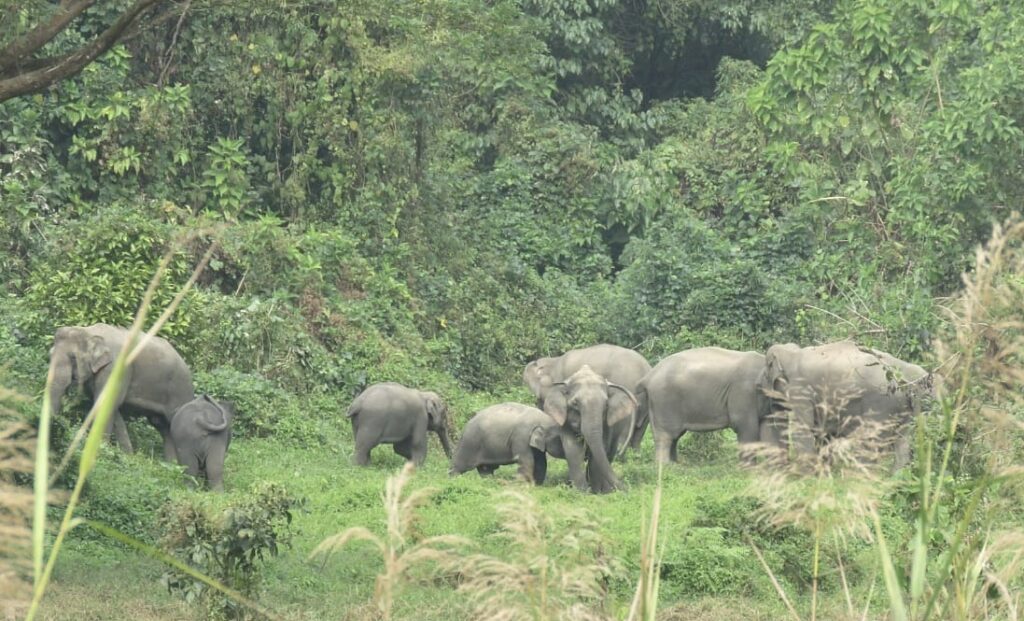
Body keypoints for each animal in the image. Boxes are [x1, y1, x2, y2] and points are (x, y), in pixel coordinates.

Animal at [48, 324, 195, 461]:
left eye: (73, 358)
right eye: (50, 354)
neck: (89, 331)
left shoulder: (116, 368)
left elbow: (104, 406)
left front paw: (100, 454)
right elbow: (111, 409)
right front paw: (127, 456)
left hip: (181, 388)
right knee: (163, 427)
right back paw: (172, 466)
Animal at [541, 365, 637, 493]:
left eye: (606, 405)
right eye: (575, 403)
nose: (628, 489)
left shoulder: (607, 426)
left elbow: (599, 452)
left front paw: (596, 492)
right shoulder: (565, 423)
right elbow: (574, 451)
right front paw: (582, 492)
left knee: (610, 454)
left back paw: (606, 489)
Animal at [636, 347, 771, 464]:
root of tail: (648, 376)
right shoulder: (744, 391)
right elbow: (746, 426)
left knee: (675, 436)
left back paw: (675, 465)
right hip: (663, 401)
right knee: (666, 435)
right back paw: (664, 466)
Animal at [757, 341, 932, 469]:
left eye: (765, 375)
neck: (791, 353)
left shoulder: (800, 391)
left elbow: (804, 429)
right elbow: (823, 433)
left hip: (881, 402)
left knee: (872, 440)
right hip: (905, 406)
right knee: (903, 440)